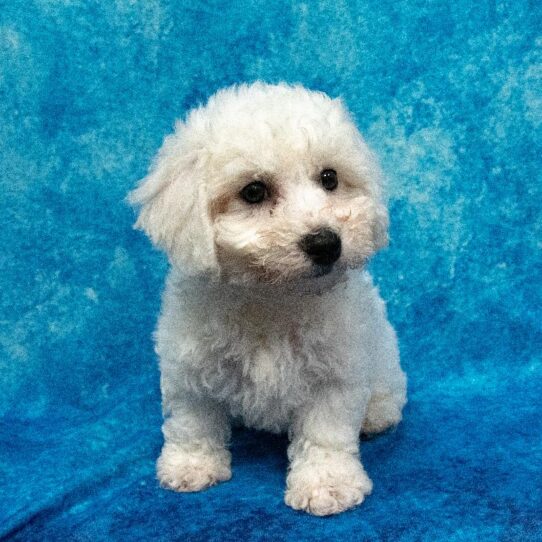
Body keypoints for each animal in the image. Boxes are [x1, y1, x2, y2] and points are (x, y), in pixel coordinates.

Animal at [129, 83, 408, 516]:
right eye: (254, 192)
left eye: (329, 178)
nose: (327, 243)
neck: (272, 298)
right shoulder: (189, 362)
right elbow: (193, 419)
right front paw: (192, 466)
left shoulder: (335, 372)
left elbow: (325, 432)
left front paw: (327, 484)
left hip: (383, 362)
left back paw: (376, 415)